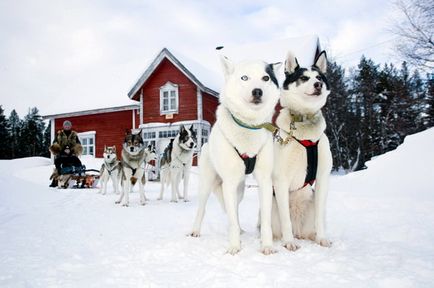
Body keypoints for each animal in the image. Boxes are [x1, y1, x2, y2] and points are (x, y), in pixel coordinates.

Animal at [190, 54, 282, 254]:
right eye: (244, 78)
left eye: (266, 78)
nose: (257, 91)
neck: (248, 126)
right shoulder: (229, 182)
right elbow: (230, 220)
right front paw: (234, 247)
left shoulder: (264, 181)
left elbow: (265, 220)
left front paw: (267, 246)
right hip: (207, 185)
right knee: (202, 209)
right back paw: (195, 230)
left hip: (239, 190)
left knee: (236, 210)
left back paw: (240, 230)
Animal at [272, 50, 334, 250]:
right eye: (304, 78)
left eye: (319, 77)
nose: (318, 85)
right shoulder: (281, 180)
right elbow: (286, 221)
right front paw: (289, 242)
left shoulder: (323, 178)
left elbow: (320, 219)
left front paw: (322, 238)